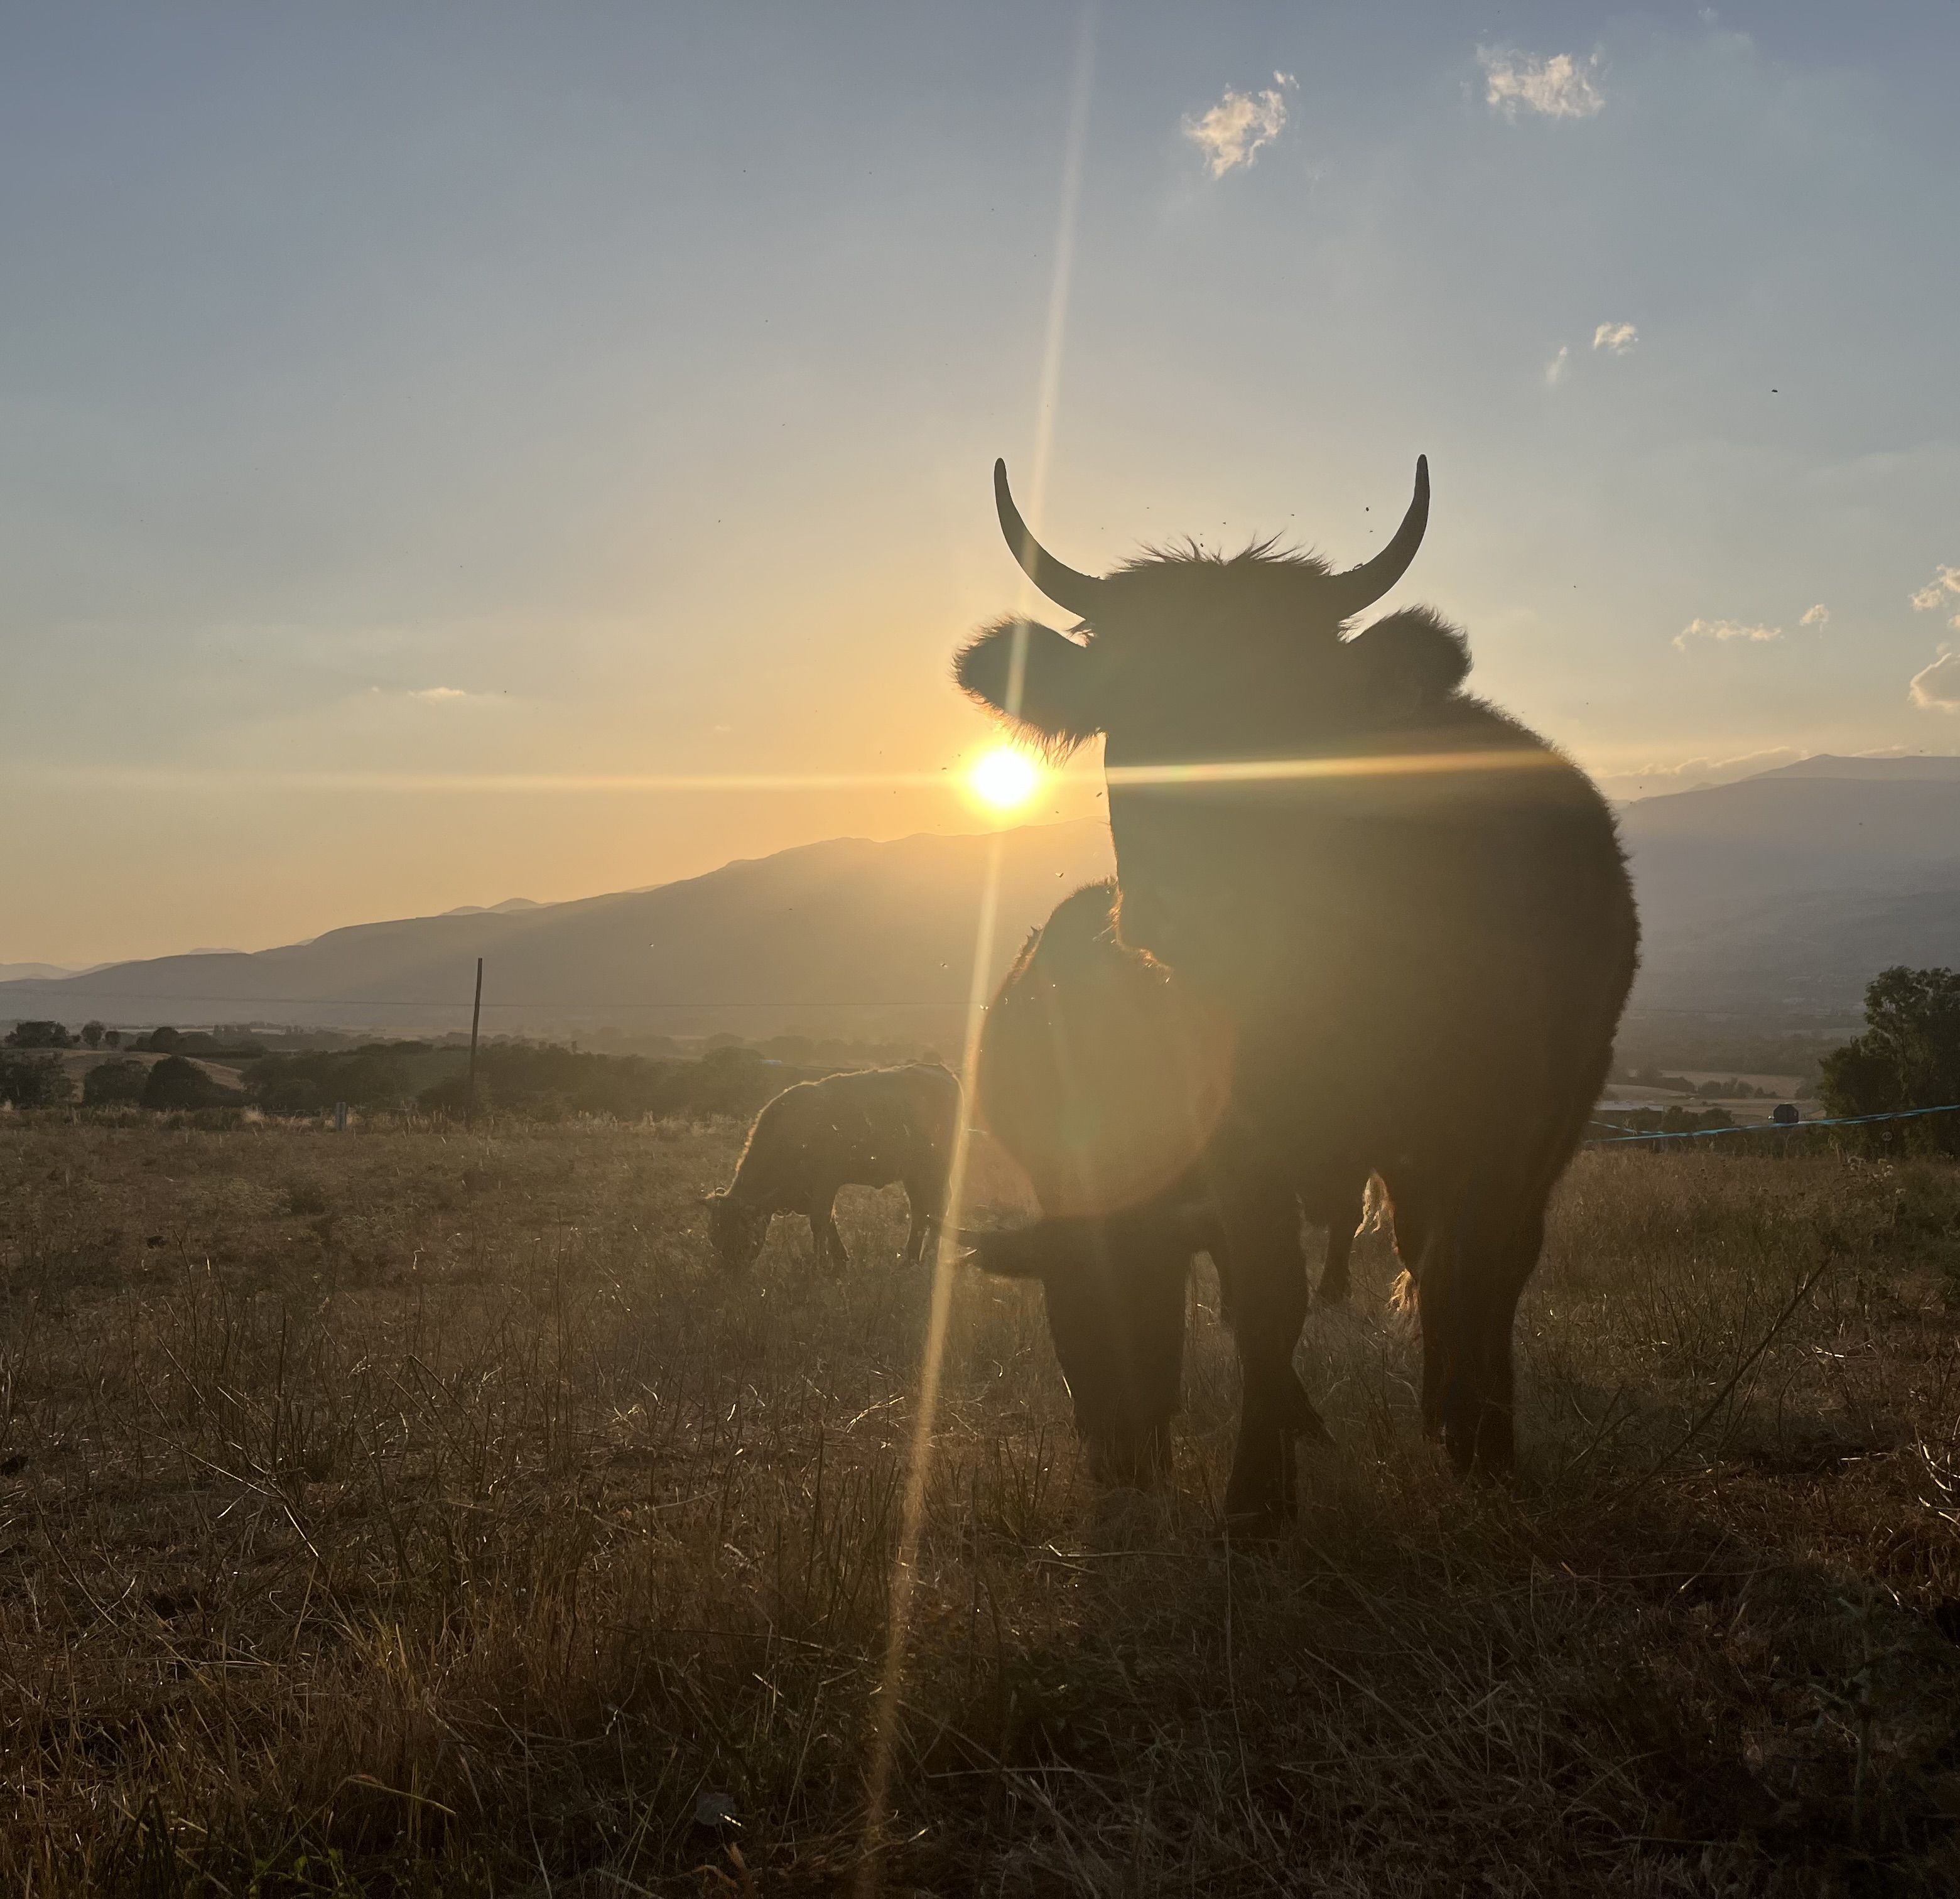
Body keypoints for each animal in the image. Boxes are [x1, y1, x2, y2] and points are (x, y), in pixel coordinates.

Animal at [709, 1058, 960, 1270]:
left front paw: (821, 1265)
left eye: (737, 1232)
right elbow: (830, 1222)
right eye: (714, 1236)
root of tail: (940, 1070)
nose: (729, 1272)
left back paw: (929, 1257)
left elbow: (820, 1222)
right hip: (914, 1176)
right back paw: (912, 1259)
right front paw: (840, 1260)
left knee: (937, 1209)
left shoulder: (826, 1183)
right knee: (921, 1212)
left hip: (935, 1172)